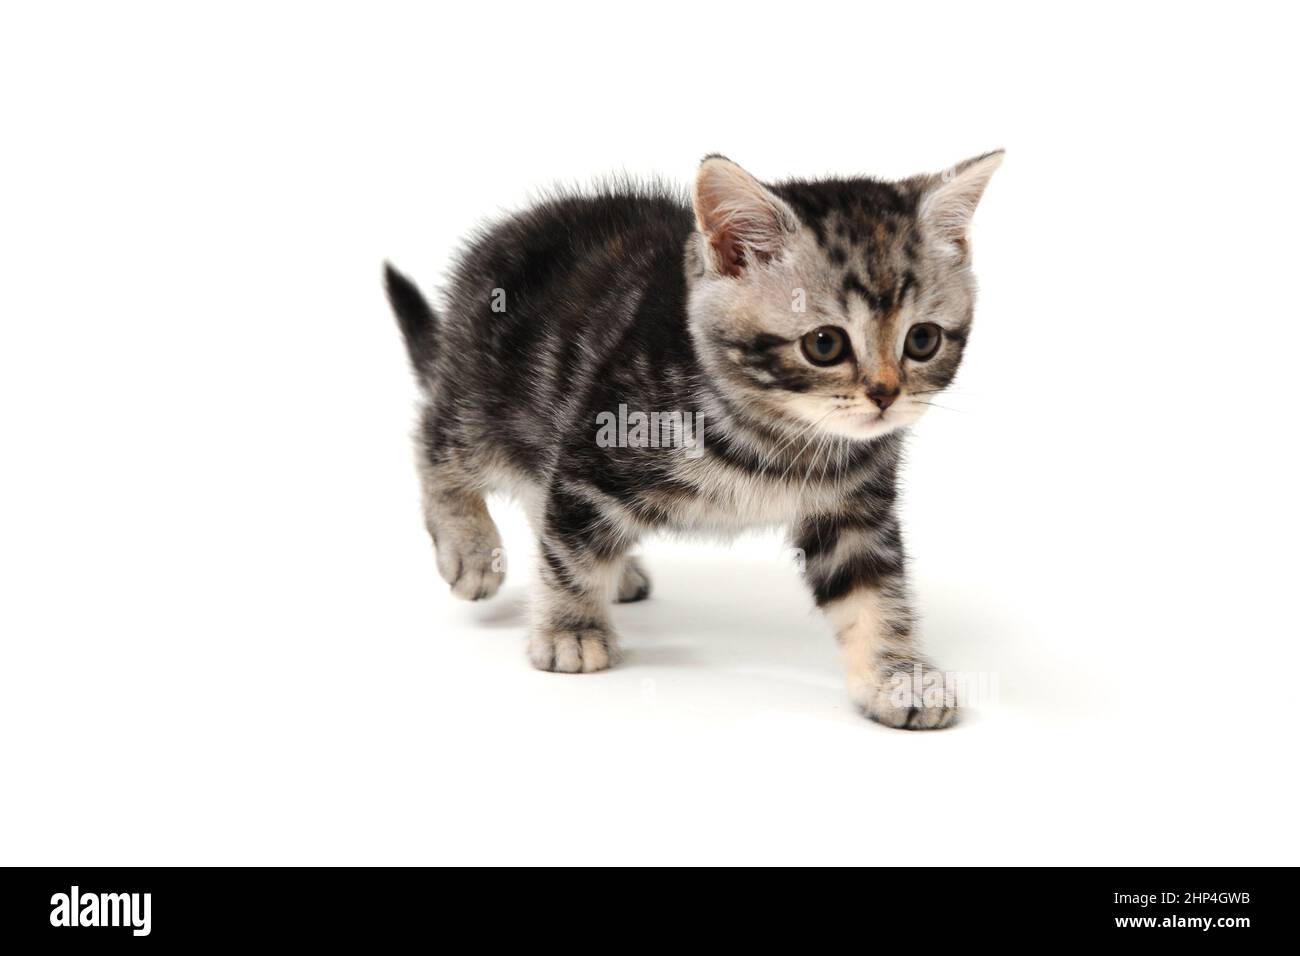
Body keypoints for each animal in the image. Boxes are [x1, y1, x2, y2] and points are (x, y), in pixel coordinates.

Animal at [379, 153, 998, 728]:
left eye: (922, 340)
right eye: (824, 344)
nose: (886, 395)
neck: (775, 434)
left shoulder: (853, 512)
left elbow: (873, 591)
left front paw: (900, 678)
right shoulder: (594, 452)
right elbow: (571, 552)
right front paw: (568, 630)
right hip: (489, 400)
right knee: (439, 443)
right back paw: (470, 549)